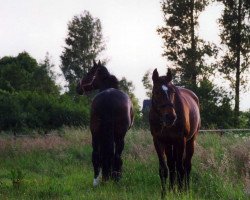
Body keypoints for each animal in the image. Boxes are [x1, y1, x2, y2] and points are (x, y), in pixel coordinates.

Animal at [149, 68, 200, 198]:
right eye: (156, 92)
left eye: (172, 92)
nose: (171, 117)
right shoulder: (158, 141)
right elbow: (164, 169)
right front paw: (164, 194)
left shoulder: (180, 140)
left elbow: (180, 168)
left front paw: (181, 193)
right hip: (169, 144)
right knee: (172, 166)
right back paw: (172, 189)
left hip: (190, 141)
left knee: (186, 165)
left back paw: (186, 190)